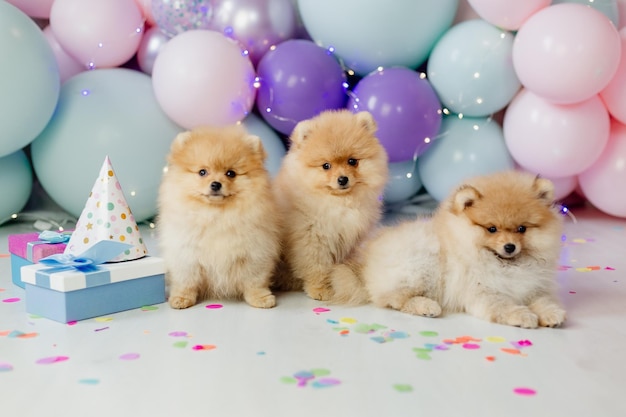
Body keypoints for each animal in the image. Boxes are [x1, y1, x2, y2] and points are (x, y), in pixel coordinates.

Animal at [157, 125, 280, 308]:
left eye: (231, 173)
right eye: (202, 172)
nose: (216, 184)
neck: (216, 216)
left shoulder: (254, 253)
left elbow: (254, 280)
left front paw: (260, 298)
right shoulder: (186, 255)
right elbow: (186, 281)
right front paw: (182, 298)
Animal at [272, 109, 388, 300]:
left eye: (352, 161)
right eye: (326, 165)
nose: (342, 179)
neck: (339, 203)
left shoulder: (353, 239)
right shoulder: (311, 238)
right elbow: (316, 267)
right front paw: (320, 290)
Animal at [358, 171, 564, 326]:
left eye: (522, 229)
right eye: (492, 229)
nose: (509, 246)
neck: (506, 265)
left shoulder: (533, 286)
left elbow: (543, 299)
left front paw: (551, 313)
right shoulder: (482, 290)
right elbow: (503, 305)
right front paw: (522, 315)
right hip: (419, 264)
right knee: (395, 299)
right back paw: (427, 306)